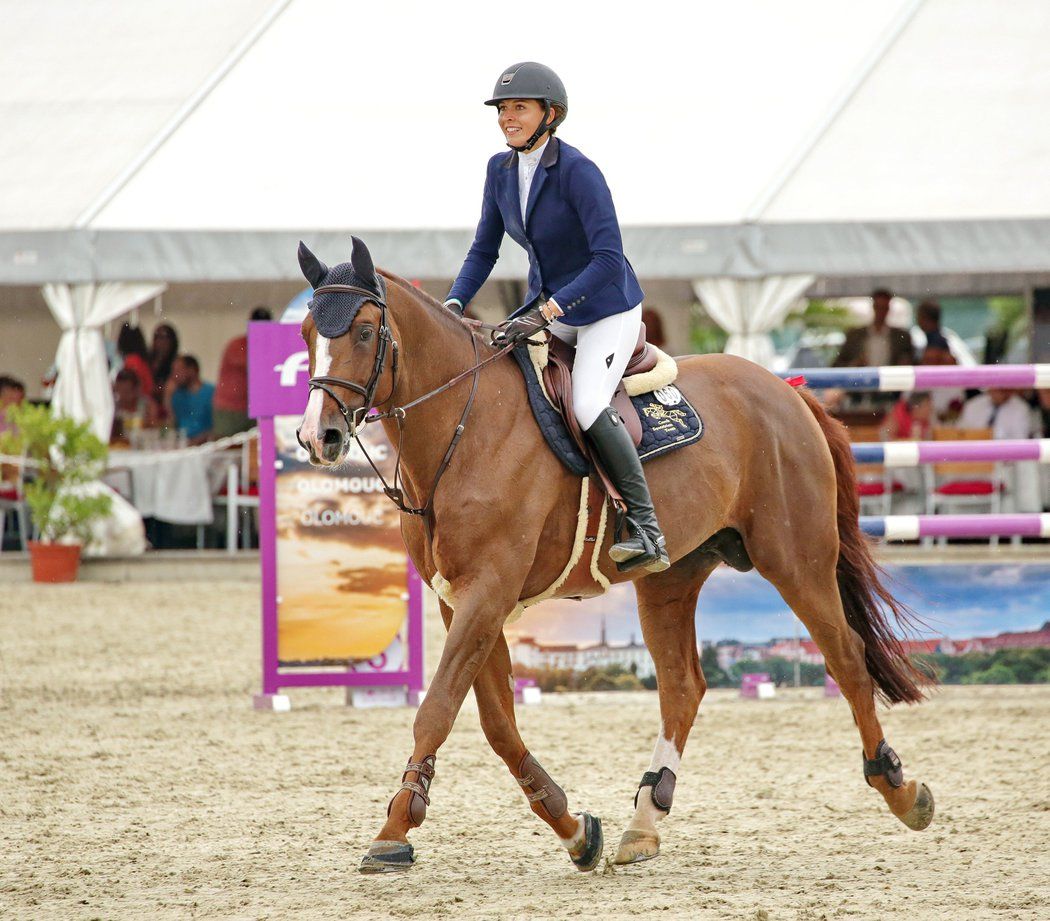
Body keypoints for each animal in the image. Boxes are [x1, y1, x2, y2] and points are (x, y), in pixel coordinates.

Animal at [296, 237, 936, 869]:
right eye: (305, 332)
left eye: (364, 331)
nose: (318, 437)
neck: (465, 424)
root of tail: (789, 392)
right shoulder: (462, 601)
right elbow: (496, 720)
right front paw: (574, 829)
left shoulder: (488, 591)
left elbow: (439, 708)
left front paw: (394, 829)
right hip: (671, 579)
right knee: (683, 686)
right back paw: (644, 822)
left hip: (797, 560)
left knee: (847, 658)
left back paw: (900, 791)